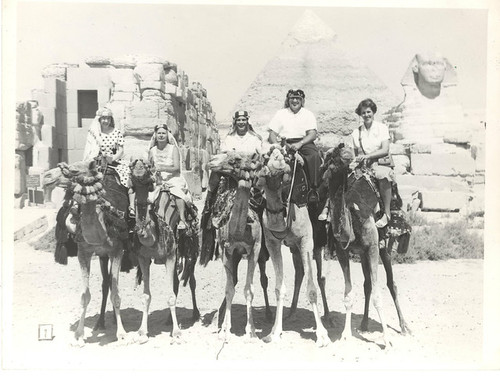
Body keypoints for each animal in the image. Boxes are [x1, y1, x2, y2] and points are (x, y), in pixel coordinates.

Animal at [129, 157, 199, 342]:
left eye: (147, 166)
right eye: (131, 166)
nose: (139, 166)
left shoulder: (170, 256)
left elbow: (171, 296)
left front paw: (177, 332)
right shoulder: (143, 258)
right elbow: (146, 296)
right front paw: (142, 331)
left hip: (191, 251)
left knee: (191, 281)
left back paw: (195, 314)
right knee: (176, 282)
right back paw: (168, 319)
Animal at [256, 146, 330, 348]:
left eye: (285, 155)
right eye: (265, 156)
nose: (278, 161)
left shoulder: (305, 240)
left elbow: (312, 289)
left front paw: (322, 336)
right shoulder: (272, 243)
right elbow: (279, 288)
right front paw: (274, 332)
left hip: (317, 243)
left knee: (320, 277)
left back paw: (328, 317)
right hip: (294, 247)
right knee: (299, 272)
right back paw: (292, 312)